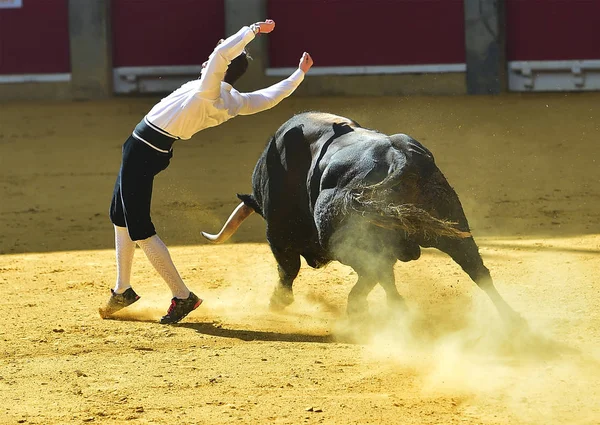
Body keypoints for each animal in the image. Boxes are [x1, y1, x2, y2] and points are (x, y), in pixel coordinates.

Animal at [202, 111, 520, 322]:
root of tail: (399, 156)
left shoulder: (279, 235)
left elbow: (287, 269)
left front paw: (277, 302)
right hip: (451, 226)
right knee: (477, 269)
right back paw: (514, 323)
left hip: (347, 241)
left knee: (379, 275)